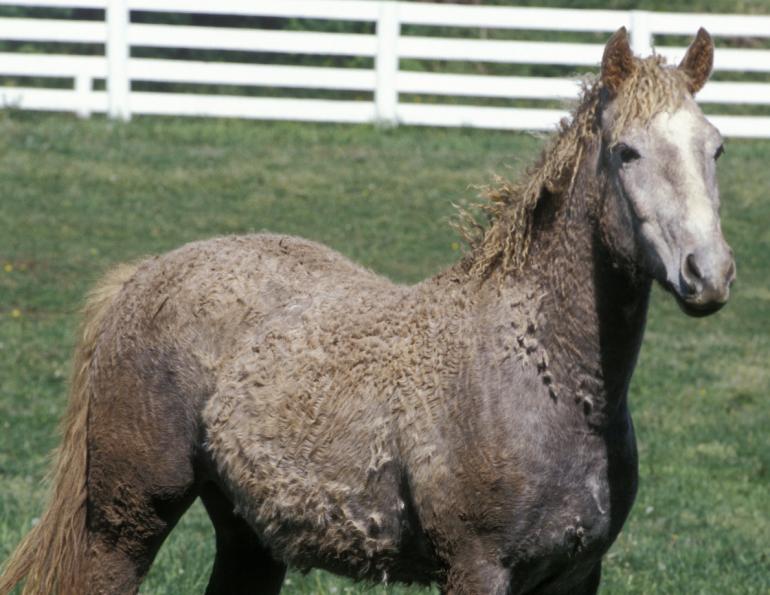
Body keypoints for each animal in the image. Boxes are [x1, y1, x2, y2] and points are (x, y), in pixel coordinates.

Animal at [0, 27, 735, 595]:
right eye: (626, 151)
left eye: (716, 147)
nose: (709, 273)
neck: (538, 370)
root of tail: (145, 272)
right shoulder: (477, 568)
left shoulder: (576, 574)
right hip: (125, 522)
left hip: (248, 534)